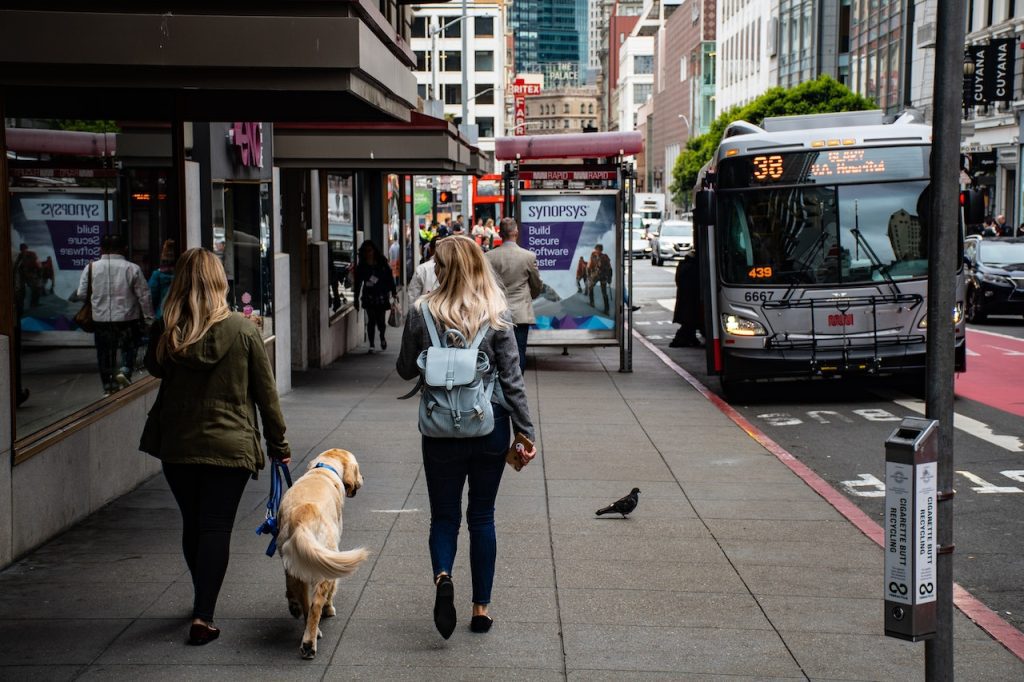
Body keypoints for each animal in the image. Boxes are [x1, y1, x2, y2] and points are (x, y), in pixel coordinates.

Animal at [276, 446, 368, 655]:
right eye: (358, 469)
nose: (363, 478)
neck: (324, 469)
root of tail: (302, 519)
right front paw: (329, 608)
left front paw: (292, 603)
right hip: (326, 560)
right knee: (316, 604)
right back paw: (309, 643)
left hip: (296, 564)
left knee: (304, 601)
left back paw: (304, 621)